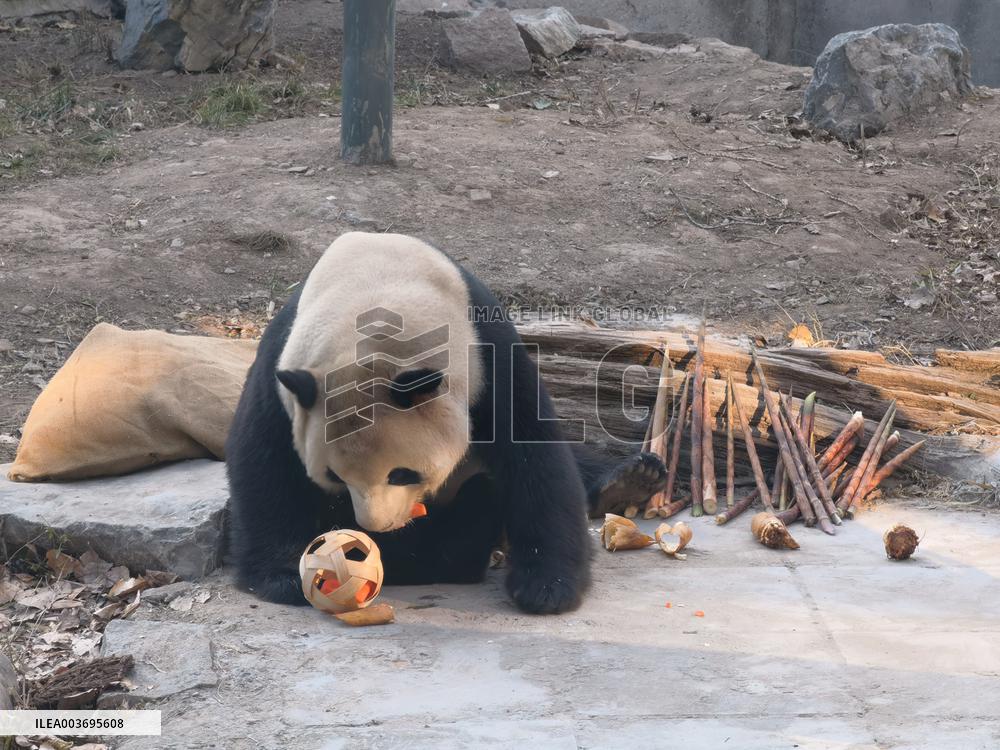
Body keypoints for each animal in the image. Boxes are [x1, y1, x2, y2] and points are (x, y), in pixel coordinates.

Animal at [226, 232, 666, 615]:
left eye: (402, 474)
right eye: (333, 477)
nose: (376, 526)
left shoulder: (486, 352)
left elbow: (533, 448)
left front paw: (547, 586)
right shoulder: (284, 368)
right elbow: (265, 460)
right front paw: (282, 576)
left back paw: (630, 479)